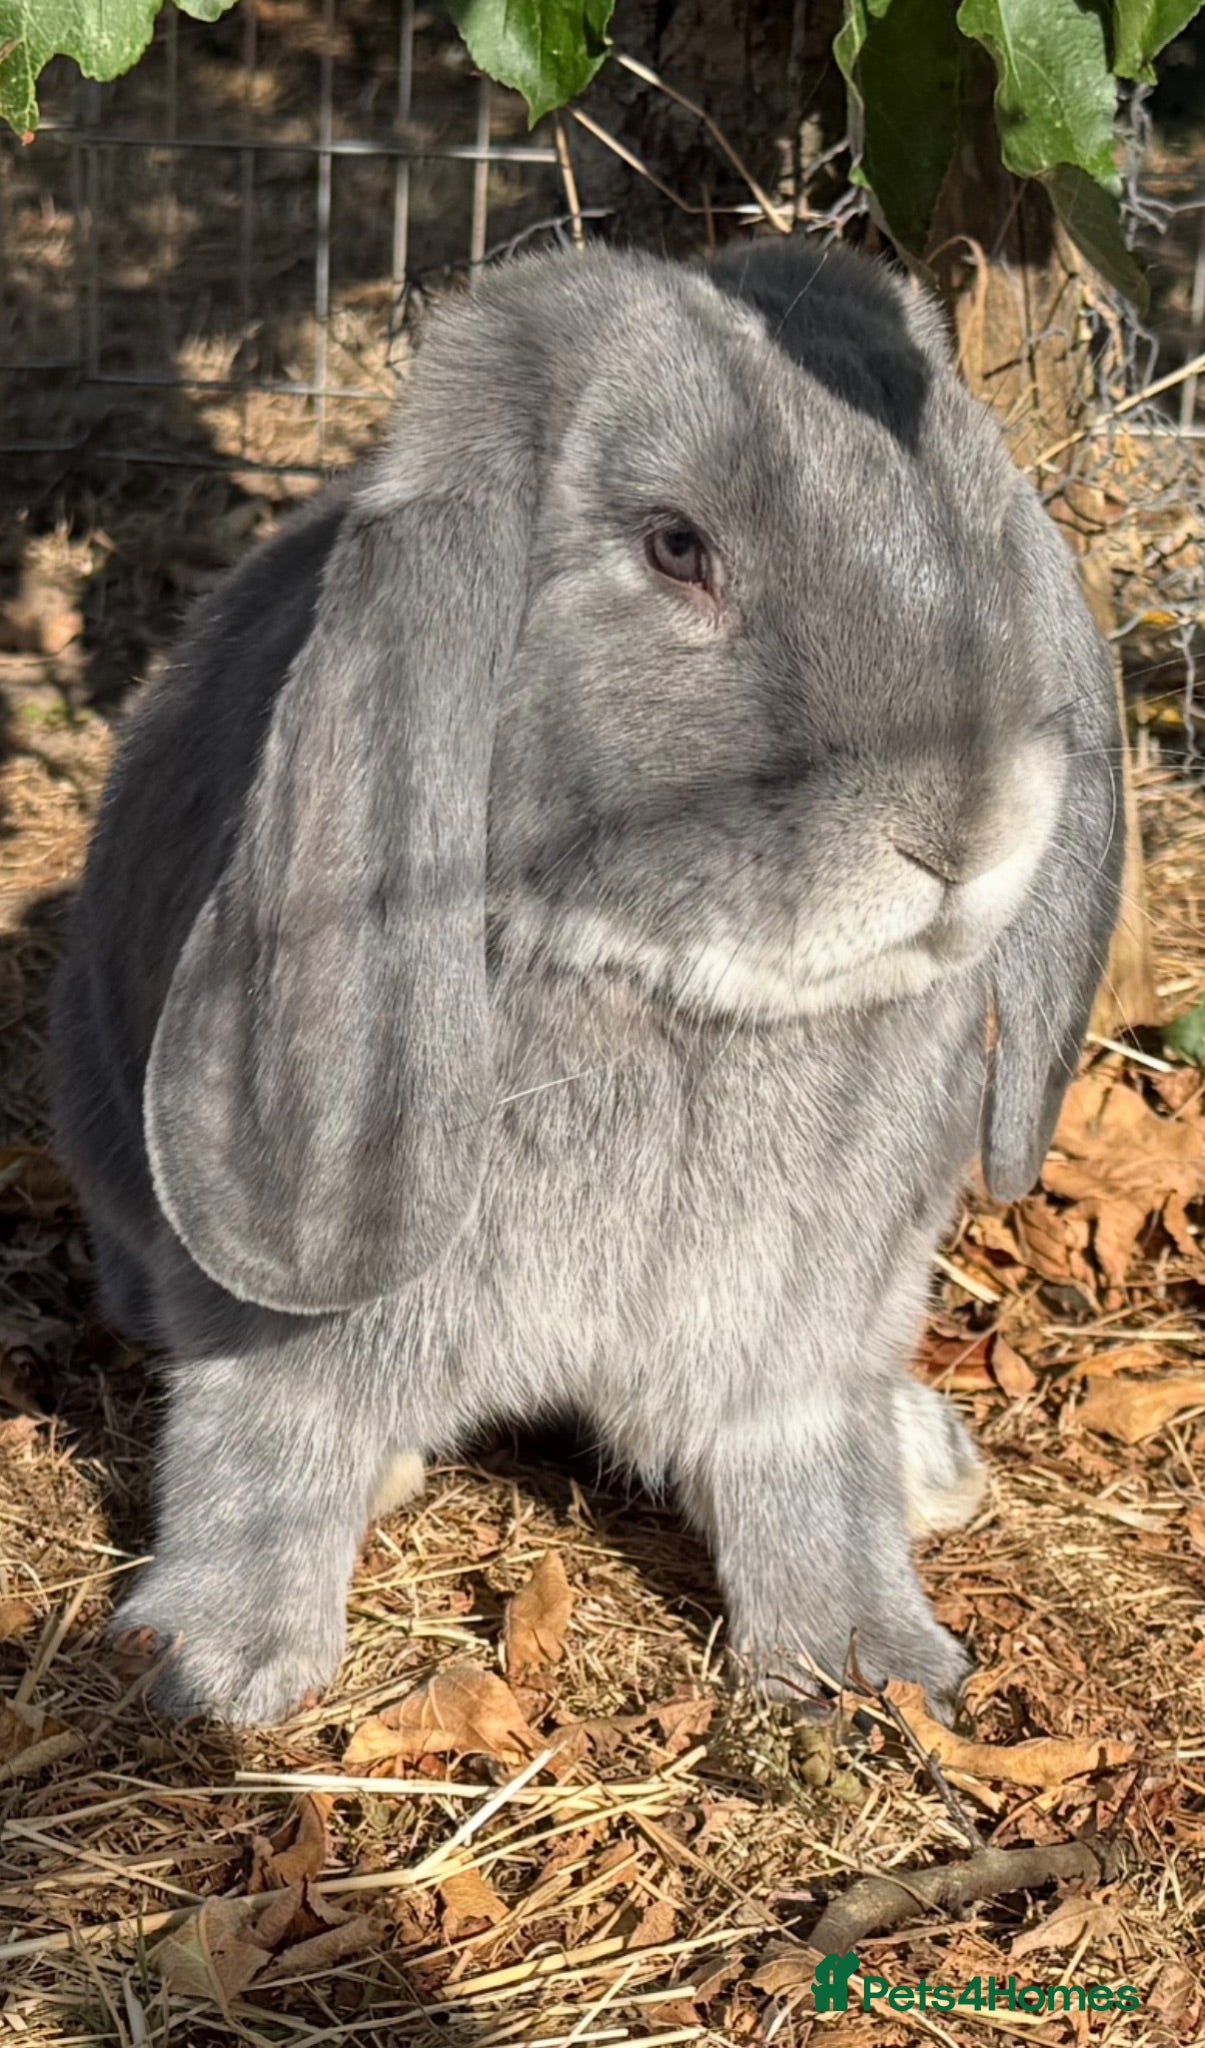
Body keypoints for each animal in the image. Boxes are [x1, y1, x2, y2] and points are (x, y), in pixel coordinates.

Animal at [49, 238, 1122, 1726]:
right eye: (676, 547)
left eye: (976, 520)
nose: (964, 829)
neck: (664, 991)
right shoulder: (280, 1342)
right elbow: (268, 1448)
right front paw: (214, 1668)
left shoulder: (795, 1333)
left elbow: (806, 1474)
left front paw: (868, 1664)